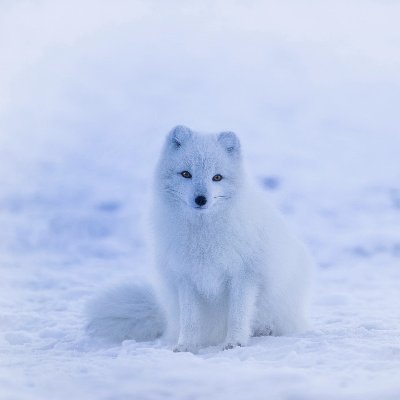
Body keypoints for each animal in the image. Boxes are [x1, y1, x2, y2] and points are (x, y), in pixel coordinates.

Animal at [86, 126, 314, 354]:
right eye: (186, 174)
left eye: (217, 177)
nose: (201, 199)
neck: (203, 234)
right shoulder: (186, 277)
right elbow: (190, 320)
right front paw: (185, 346)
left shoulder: (245, 275)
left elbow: (238, 315)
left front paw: (234, 343)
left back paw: (265, 330)